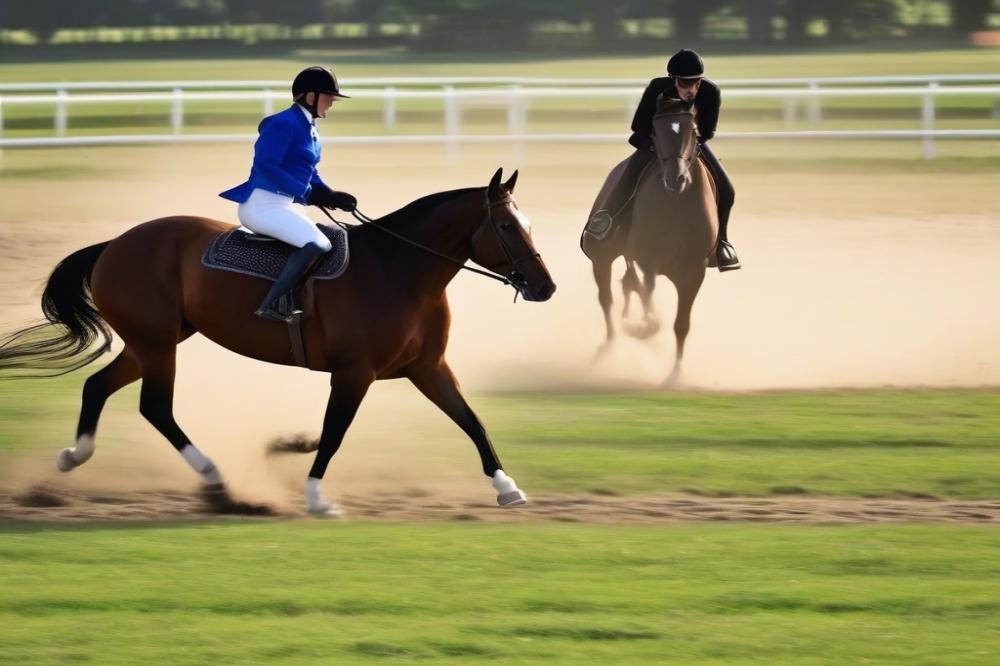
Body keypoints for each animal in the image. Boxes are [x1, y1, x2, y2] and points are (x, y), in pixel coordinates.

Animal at [0, 166, 556, 512]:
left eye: (527, 223)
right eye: (508, 226)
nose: (545, 287)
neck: (396, 269)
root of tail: (116, 243)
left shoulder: (428, 369)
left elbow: (471, 421)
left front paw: (507, 487)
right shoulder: (353, 374)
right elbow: (334, 433)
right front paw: (315, 496)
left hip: (152, 342)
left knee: (98, 386)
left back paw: (73, 457)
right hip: (157, 346)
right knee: (155, 407)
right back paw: (215, 479)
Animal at [584, 96, 716, 382]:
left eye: (694, 131)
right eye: (656, 130)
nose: (676, 178)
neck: (675, 205)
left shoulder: (693, 273)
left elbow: (681, 324)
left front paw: (676, 373)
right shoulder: (647, 260)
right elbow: (648, 306)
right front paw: (640, 329)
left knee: (624, 289)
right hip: (602, 258)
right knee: (607, 299)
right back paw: (610, 347)